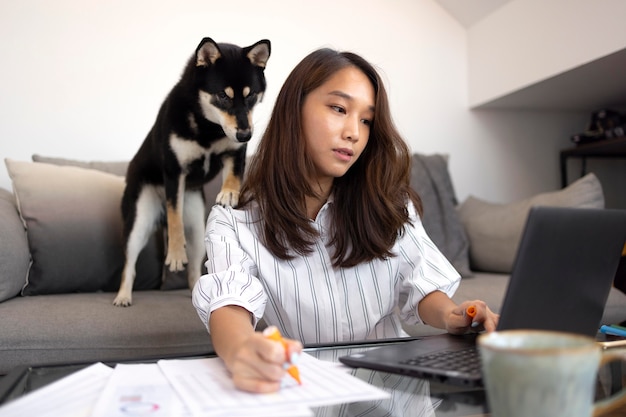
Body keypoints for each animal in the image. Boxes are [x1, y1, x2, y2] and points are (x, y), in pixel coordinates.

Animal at [113, 37, 270, 306]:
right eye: (223, 96)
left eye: (251, 96)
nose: (246, 135)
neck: (209, 128)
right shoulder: (175, 172)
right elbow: (174, 220)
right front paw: (176, 254)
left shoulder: (234, 154)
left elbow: (234, 176)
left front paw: (229, 194)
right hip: (139, 220)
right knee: (129, 265)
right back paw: (123, 295)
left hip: (197, 225)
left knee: (195, 268)